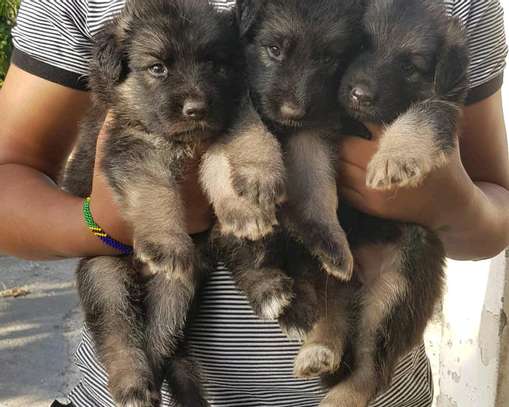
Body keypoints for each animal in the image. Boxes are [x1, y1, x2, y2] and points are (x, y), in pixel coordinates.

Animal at [63, 0, 242, 405]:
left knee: (161, 340)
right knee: (118, 331)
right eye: (158, 68)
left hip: (178, 287)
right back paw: (133, 383)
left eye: (217, 66)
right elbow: (155, 192)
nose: (196, 109)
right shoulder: (131, 150)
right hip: (103, 271)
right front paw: (167, 242)